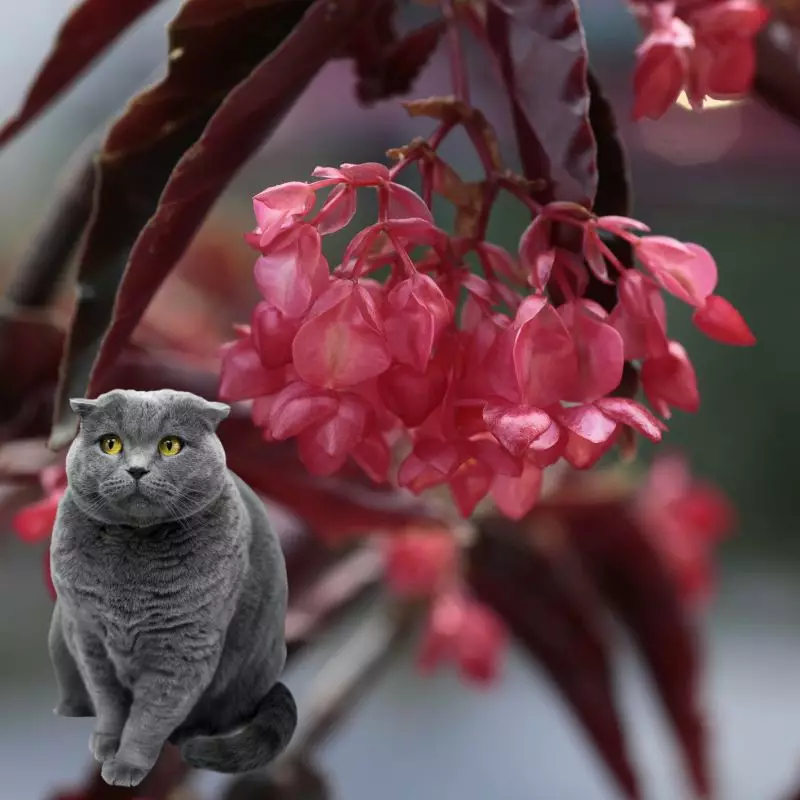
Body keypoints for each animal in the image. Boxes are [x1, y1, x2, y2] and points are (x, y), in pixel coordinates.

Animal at [48, 388, 296, 788]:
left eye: (170, 446)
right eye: (111, 444)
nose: (136, 469)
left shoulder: (183, 648)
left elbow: (150, 717)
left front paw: (126, 766)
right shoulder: (89, 637)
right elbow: (109, 703)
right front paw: (106, 743)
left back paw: (187, 736)